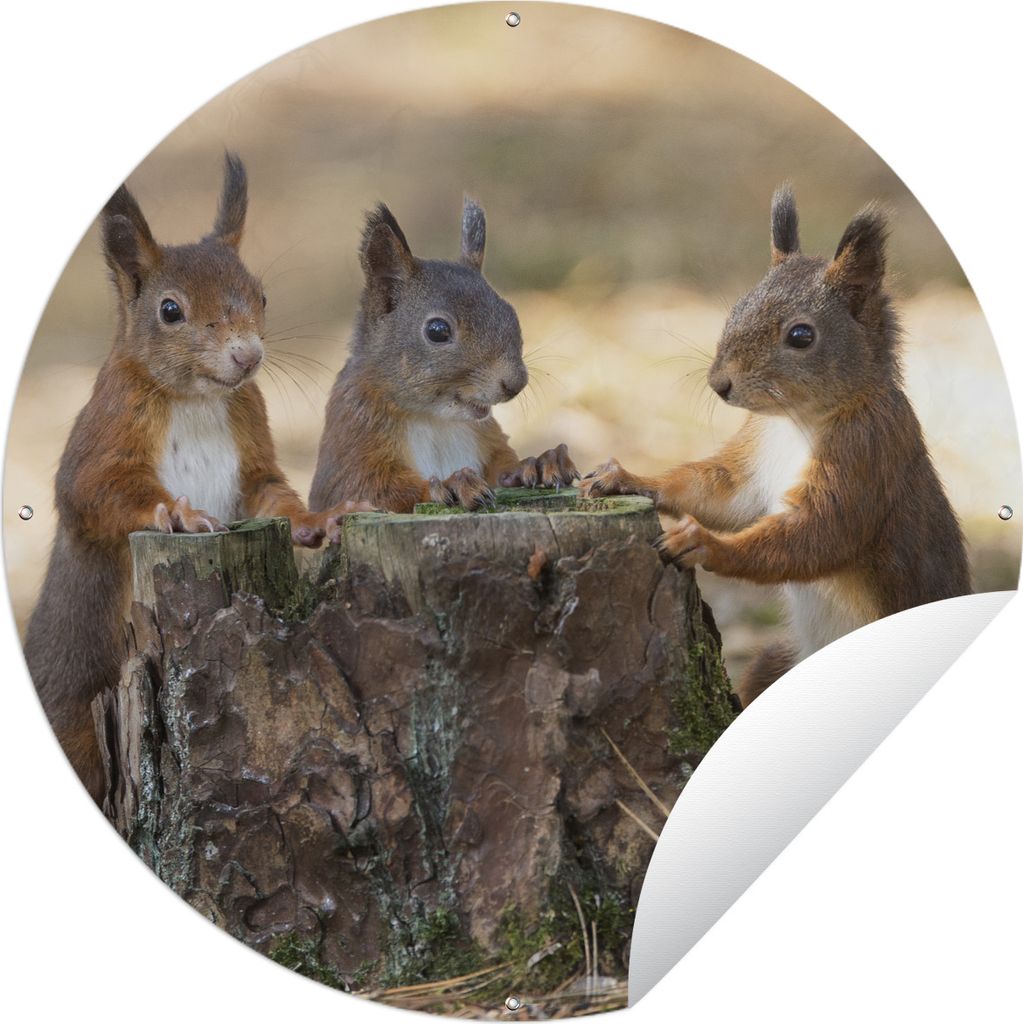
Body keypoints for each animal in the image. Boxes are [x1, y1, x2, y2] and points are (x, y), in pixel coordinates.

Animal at [24, 153, 366, 802]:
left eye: (262, 295)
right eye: (170, 310)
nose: (247, 356)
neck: (197, 399)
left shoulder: (250, 451)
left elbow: (273, 498)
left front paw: (320, 519)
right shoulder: (103, 438)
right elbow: (97, 492)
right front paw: (179, 514)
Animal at [308, 198, 578, 514]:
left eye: (511, 312)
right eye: (437, 330)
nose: (515, 383)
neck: (435, 420)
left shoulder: (487, 437)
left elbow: (503, 470)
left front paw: (539, 463)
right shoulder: (352, 437)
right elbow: (366, 492)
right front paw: (451, 485)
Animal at [581, 185, 971, 707]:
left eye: (801, 336)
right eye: (737, 308)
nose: (719, 383)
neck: (796, 421)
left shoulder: (868, 451)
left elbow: (819, 532)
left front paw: (704, 545)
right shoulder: (753, 457)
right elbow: (719, 494)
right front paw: (627, 478)